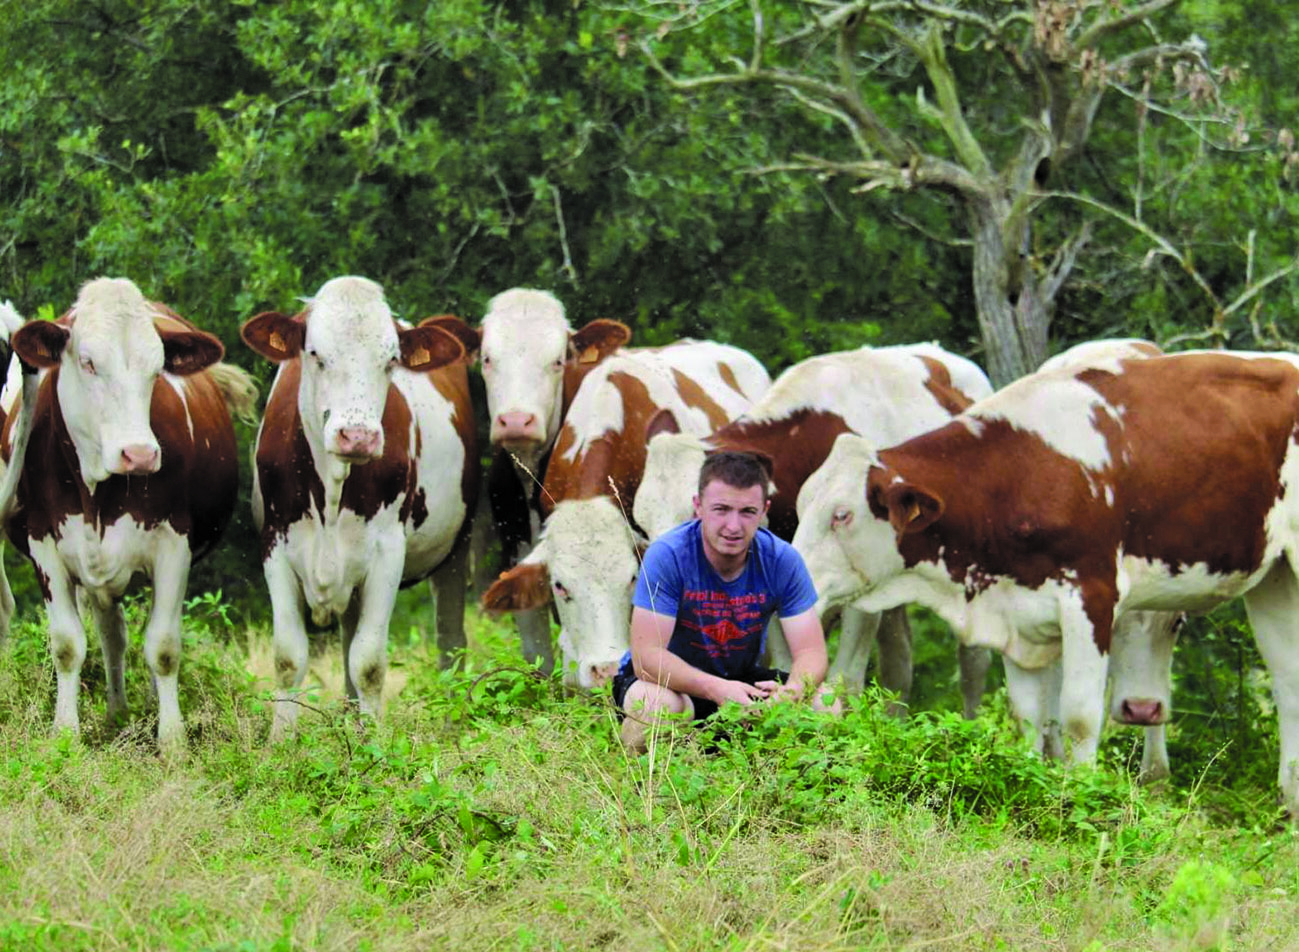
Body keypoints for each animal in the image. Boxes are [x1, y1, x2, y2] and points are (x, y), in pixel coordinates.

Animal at [0, 277, 255, 748]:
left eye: (157, 369)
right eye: (87, 362)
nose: (138, 453)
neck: (96, 491)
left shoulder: (174, 548)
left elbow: (164, 647)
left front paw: (172, 739)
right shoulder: (45, 547)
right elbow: (67, 644)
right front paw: (66, 733)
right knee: (111, 634)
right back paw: (117, 713)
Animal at [241, 275, 475, 737]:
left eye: (391, 360)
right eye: (315, 353)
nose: (358, 435)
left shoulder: (388, 552)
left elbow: (368, 662)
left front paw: (374, 741)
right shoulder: (274, 544)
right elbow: (288, 656)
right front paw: (280, 741)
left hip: (456, 548)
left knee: (450, 638)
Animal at [631, 340, 992, 706]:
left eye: (695, 513)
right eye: (641, 525)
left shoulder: (859, 593)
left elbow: (843, 681)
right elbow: (787, 663)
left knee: (973, 667)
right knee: (898, 664)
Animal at [789, 348, 1299, 810]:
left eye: (841, 514)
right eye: (799, 506)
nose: (795, 577)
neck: (1016, 476)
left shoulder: (1091, 596)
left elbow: (1078, 716)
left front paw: (1082, 800)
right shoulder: (1018, 613)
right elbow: (1029, 716)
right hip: (1276, 581)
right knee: (1288, 678)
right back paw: (1289, 805)